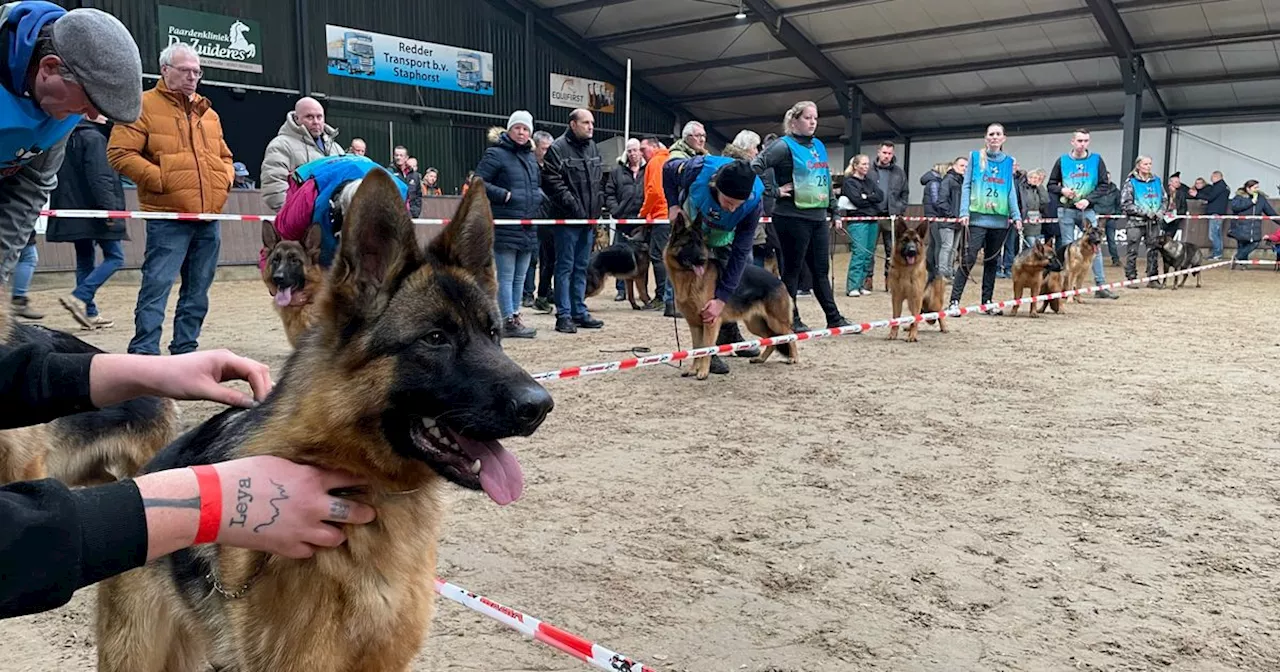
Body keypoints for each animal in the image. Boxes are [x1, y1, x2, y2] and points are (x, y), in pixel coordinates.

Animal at [665, 209, 793, 376]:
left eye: (700, 244)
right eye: (688, 244)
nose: (703, 260)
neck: (689, 278)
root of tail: (779, 281)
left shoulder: (710, 322)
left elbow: (706, 349)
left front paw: (703, 372)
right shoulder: (695, 326)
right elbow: (697, 350)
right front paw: (693, 370)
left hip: (776, 322)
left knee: (790, 334)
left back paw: (793, 358)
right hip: (755, 324)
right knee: (772, 340)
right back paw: (761, 359)